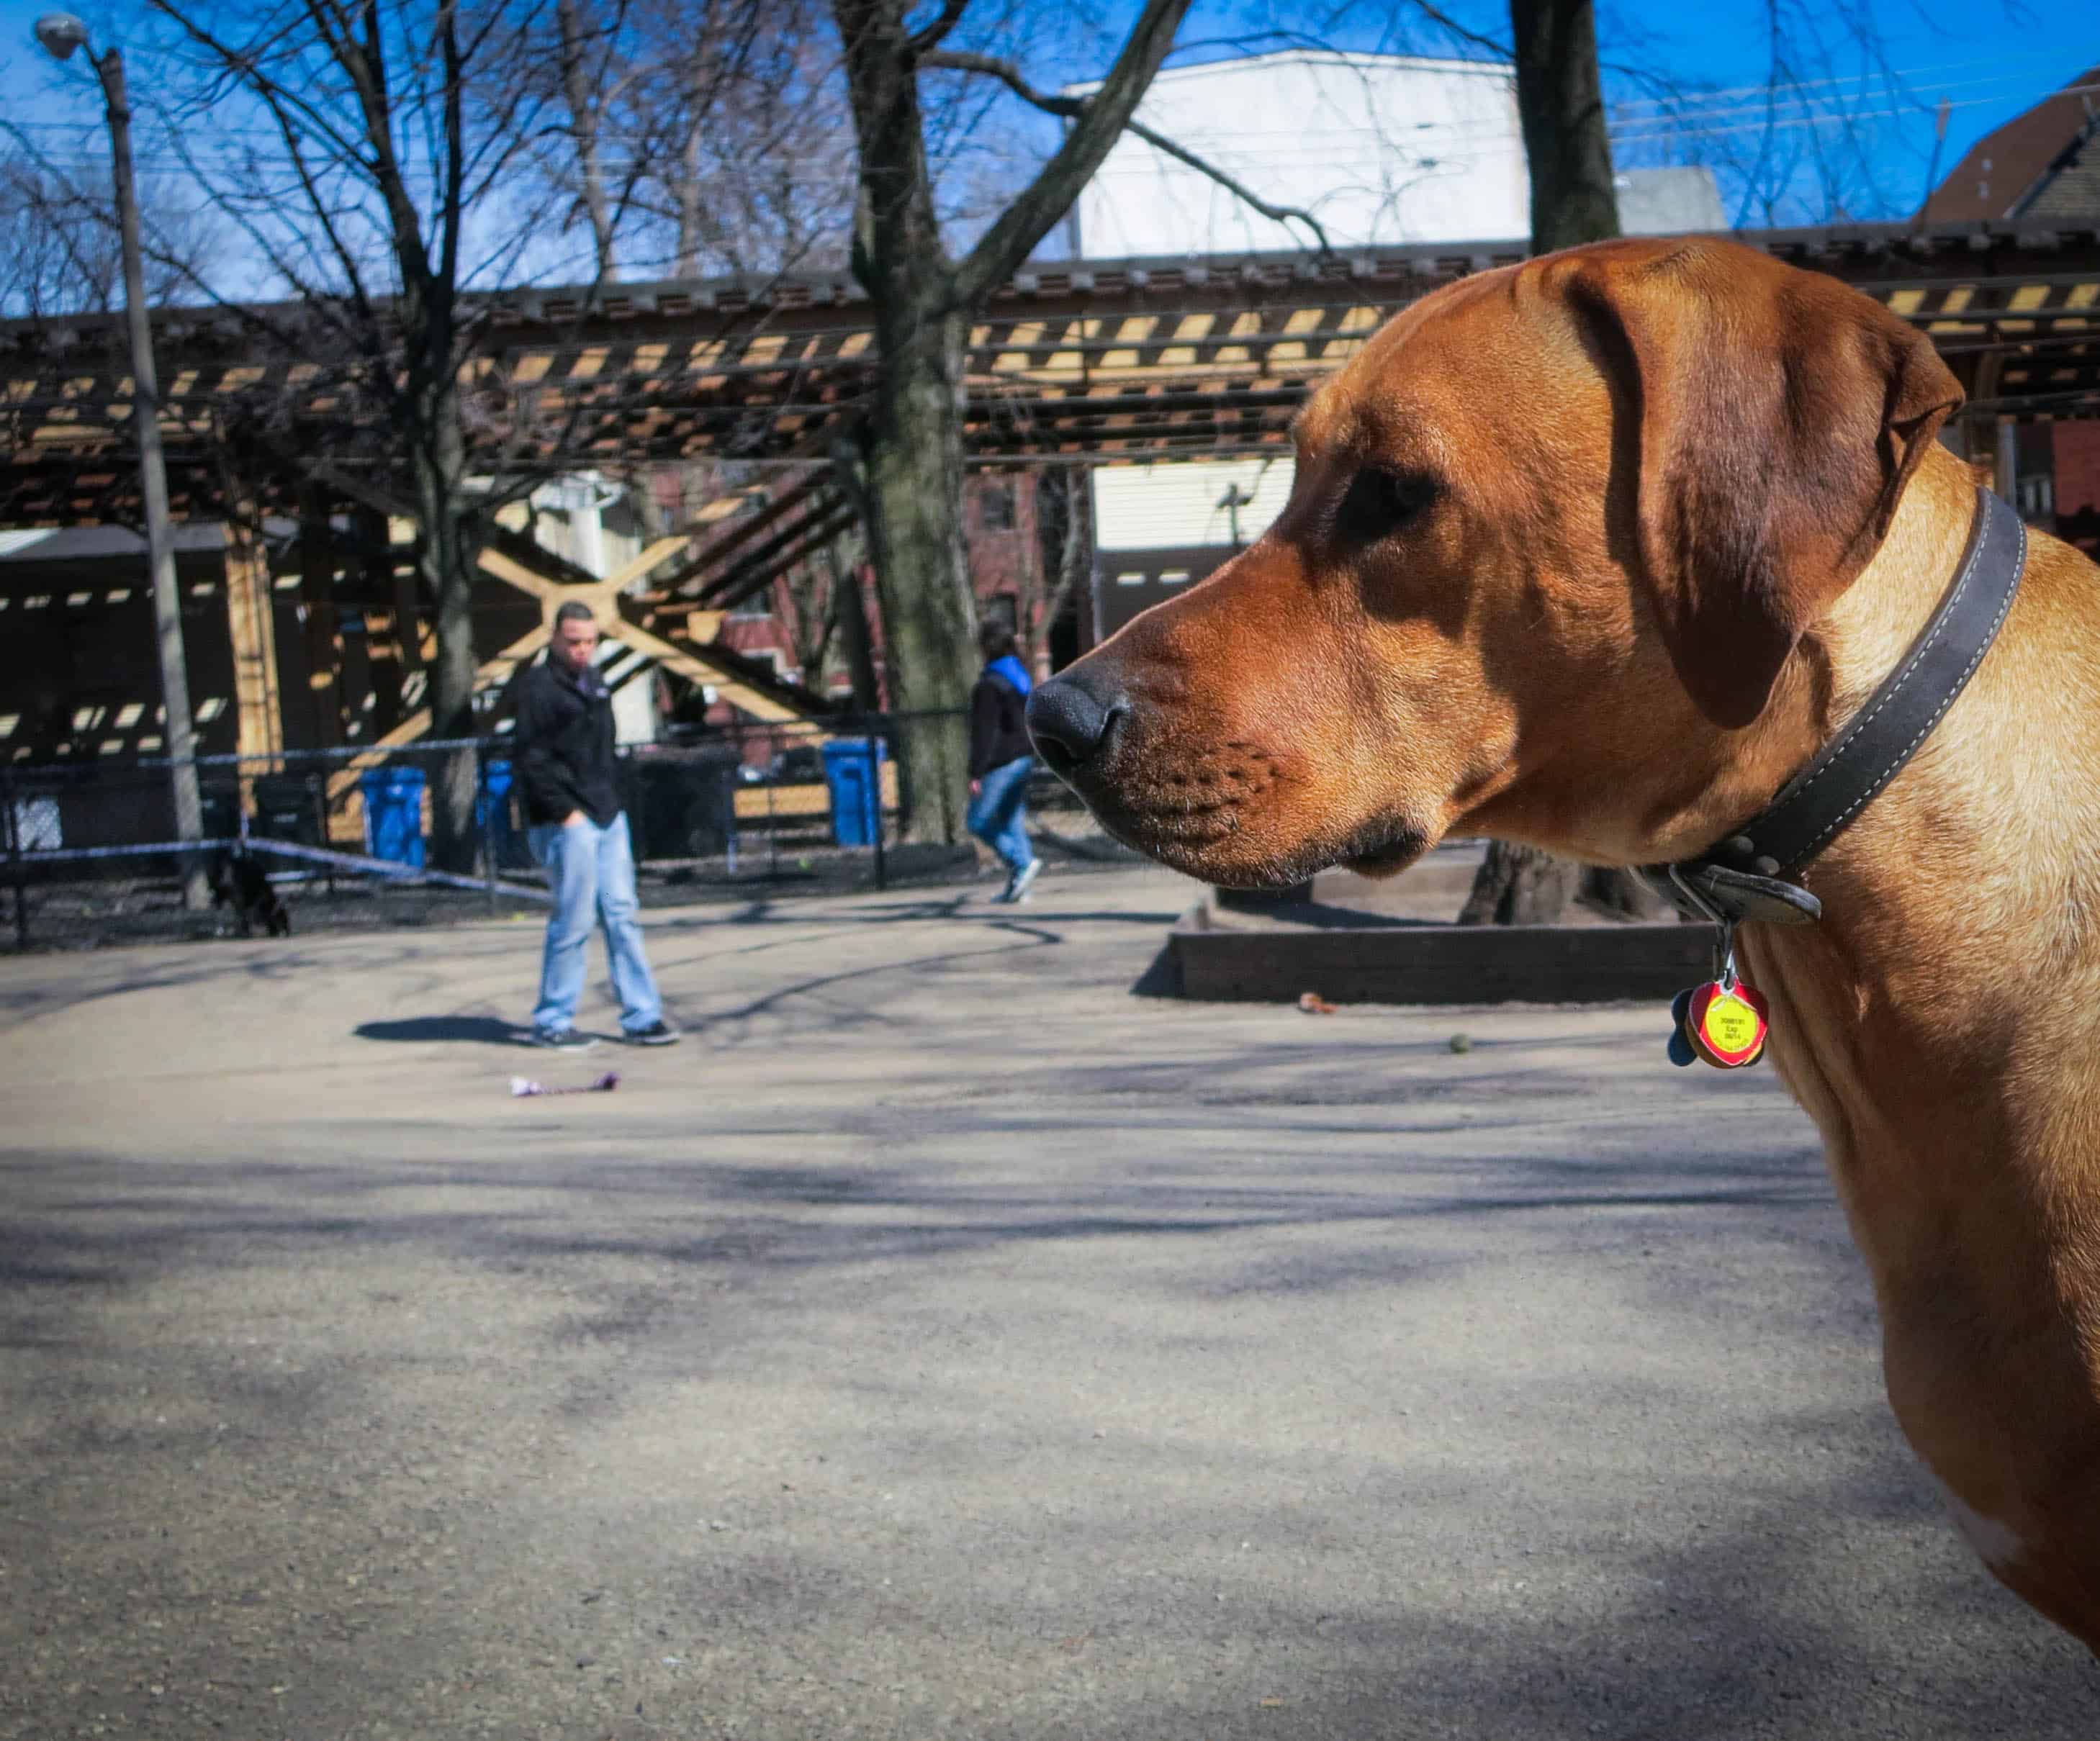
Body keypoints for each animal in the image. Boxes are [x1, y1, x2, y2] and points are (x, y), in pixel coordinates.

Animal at [209, 844, 292, 936]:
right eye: (282, 916)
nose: (288, 931)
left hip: (218, 893)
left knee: (217, 908)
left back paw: (219, 930)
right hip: (234, 896)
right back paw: (245, 931)